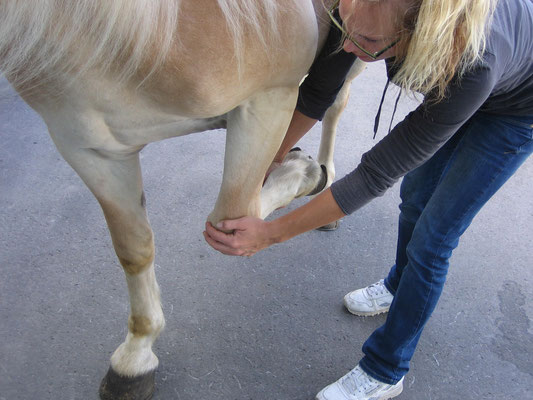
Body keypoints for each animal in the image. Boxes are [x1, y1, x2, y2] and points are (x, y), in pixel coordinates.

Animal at [0, 1, 364, 398]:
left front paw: (307, 173)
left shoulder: (270, 97)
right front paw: (136, 356)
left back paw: (325, 182)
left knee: (336, 101)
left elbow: (233, 217)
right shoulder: (93, 150)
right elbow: (134, 249)